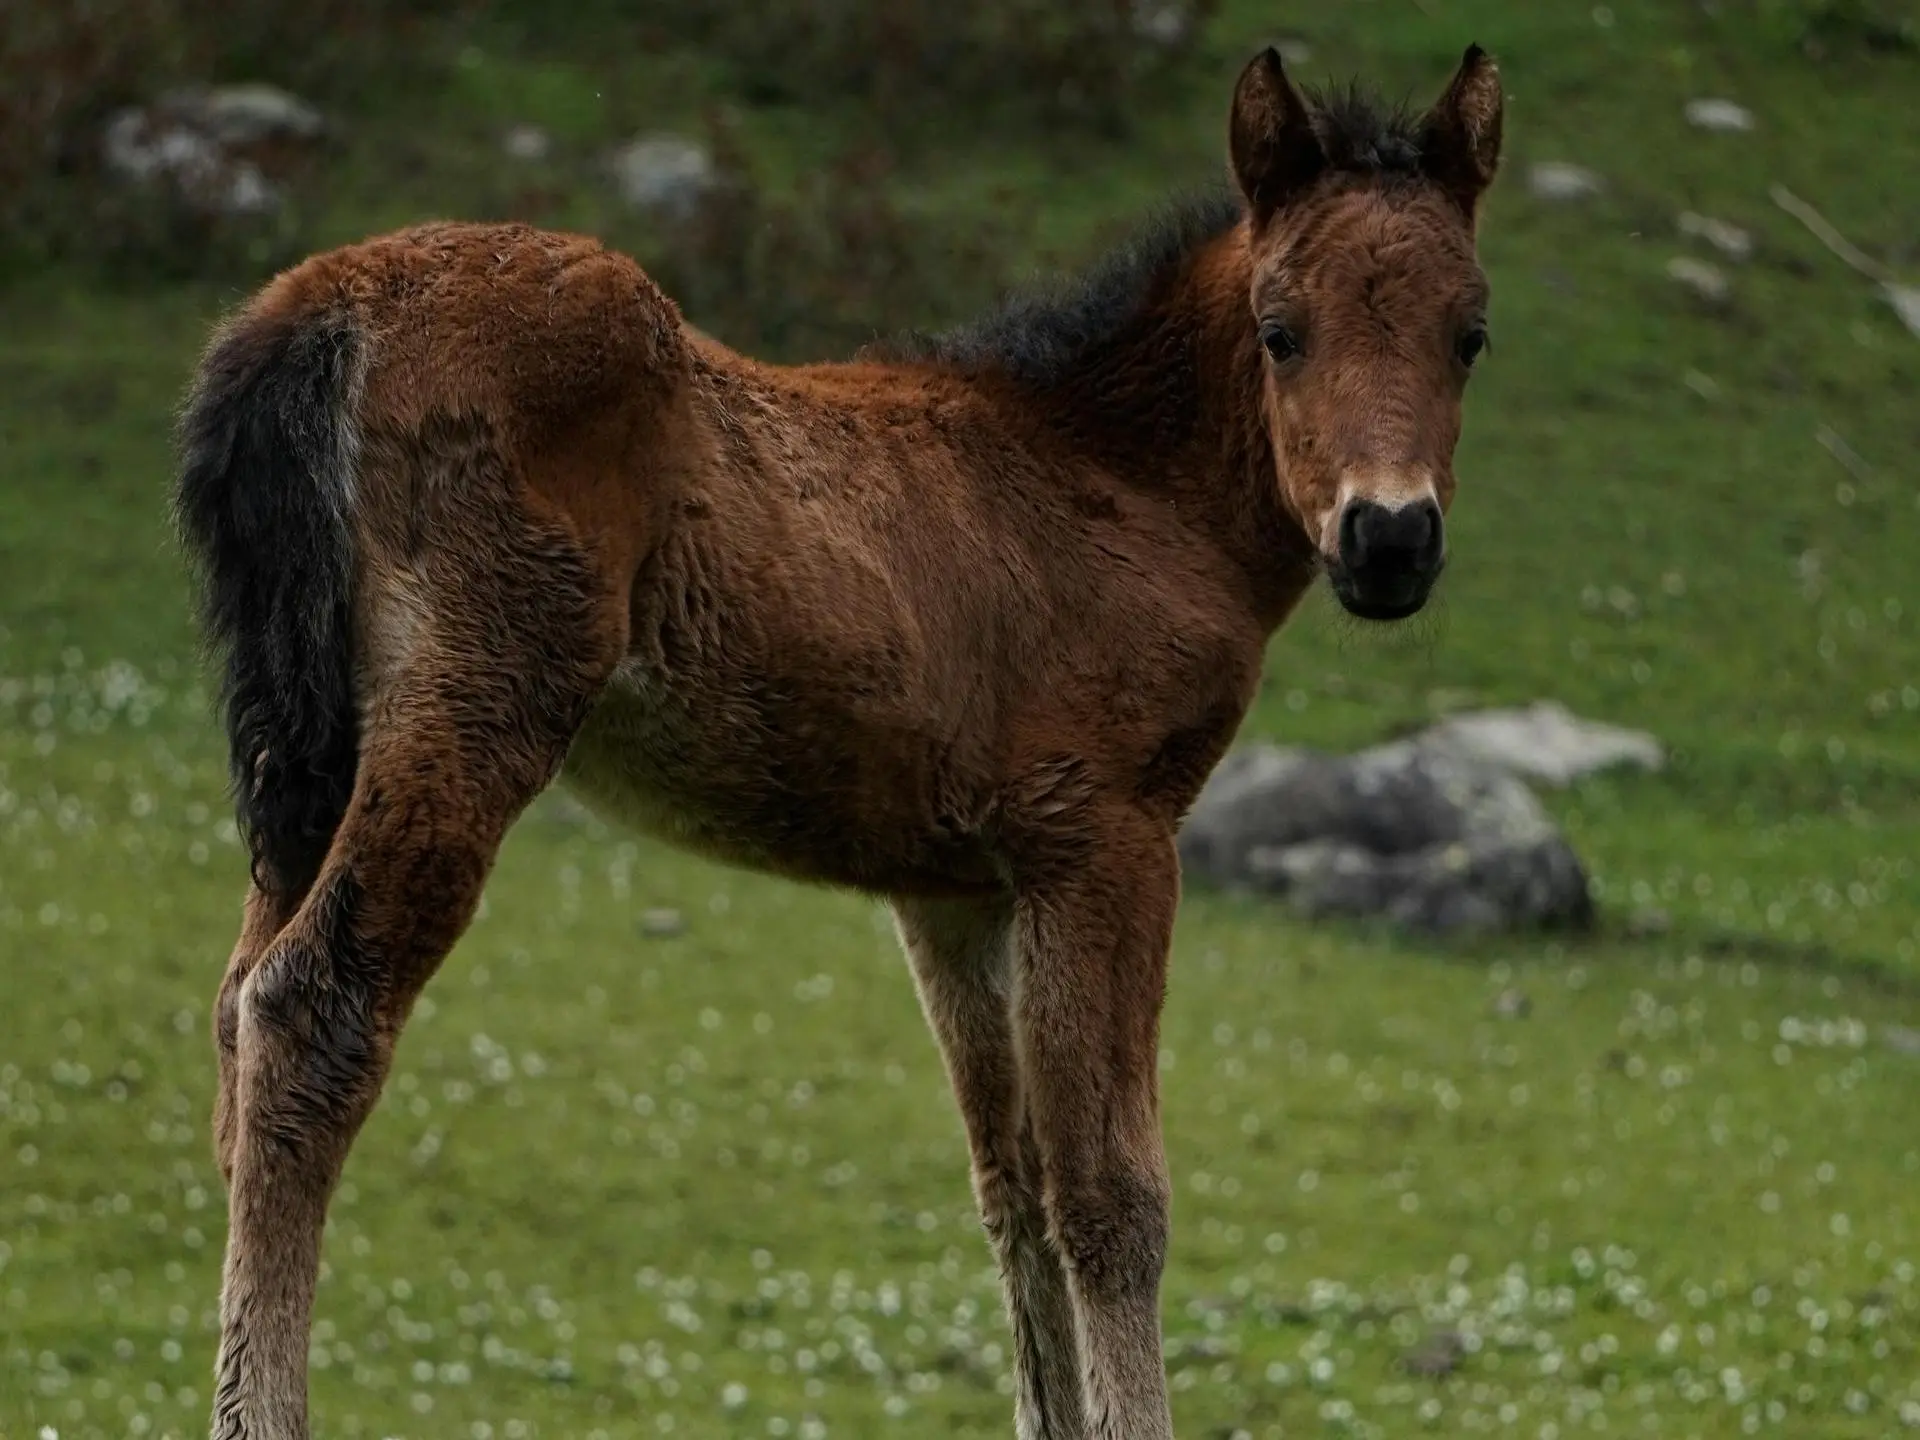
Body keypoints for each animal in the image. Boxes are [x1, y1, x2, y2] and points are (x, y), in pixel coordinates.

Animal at [176, 45, 1497, 1440]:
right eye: (1278, 330)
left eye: (1471, 335)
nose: (1389, 540)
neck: (1123, 485)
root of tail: (314, 312)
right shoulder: (1107, 838)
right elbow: (1112, 1201)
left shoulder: (960, 888)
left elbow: (1013, 1190)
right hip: (475, 705)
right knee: (312, 1005)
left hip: (306, 753)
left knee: (236, 1011)